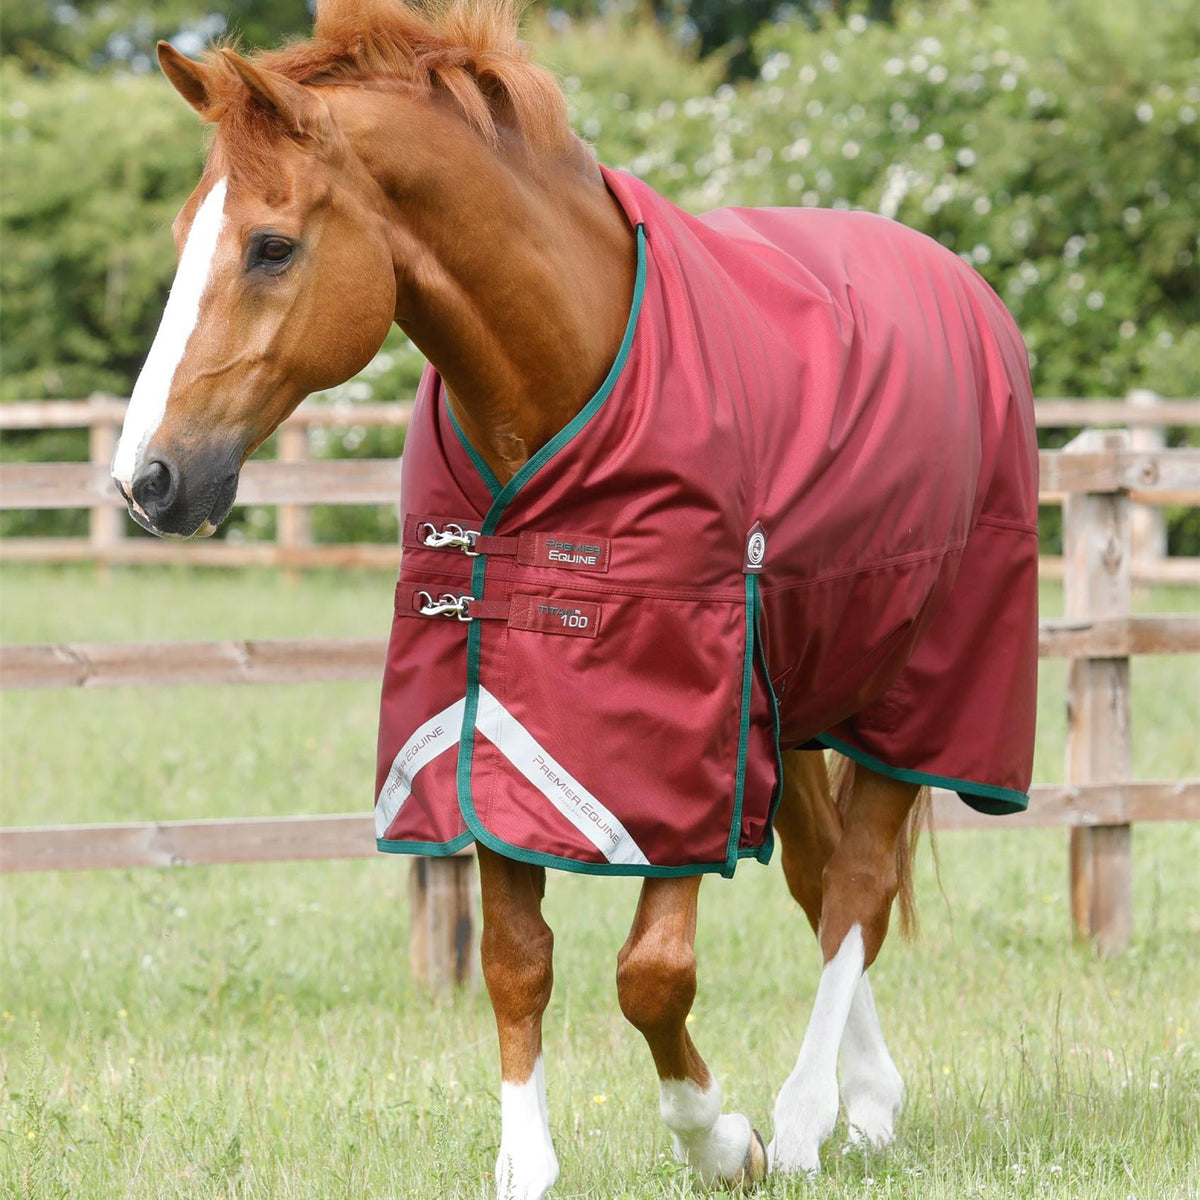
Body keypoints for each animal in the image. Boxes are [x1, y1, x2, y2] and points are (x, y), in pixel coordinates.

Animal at [111, 2, 1038, 1195]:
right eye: (190, 235)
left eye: (272, 246)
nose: (146, 480)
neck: (566, 368)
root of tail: (962, 285)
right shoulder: (487, 718)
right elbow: (516, 961)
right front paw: (528, 1162)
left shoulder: (679, 750)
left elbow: (653, 973)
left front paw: (720, 1137)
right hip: (788, 703)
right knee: (822, 877)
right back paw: (866, 1104)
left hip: (913, 693)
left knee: (860, 889)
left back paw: (800, 1120)